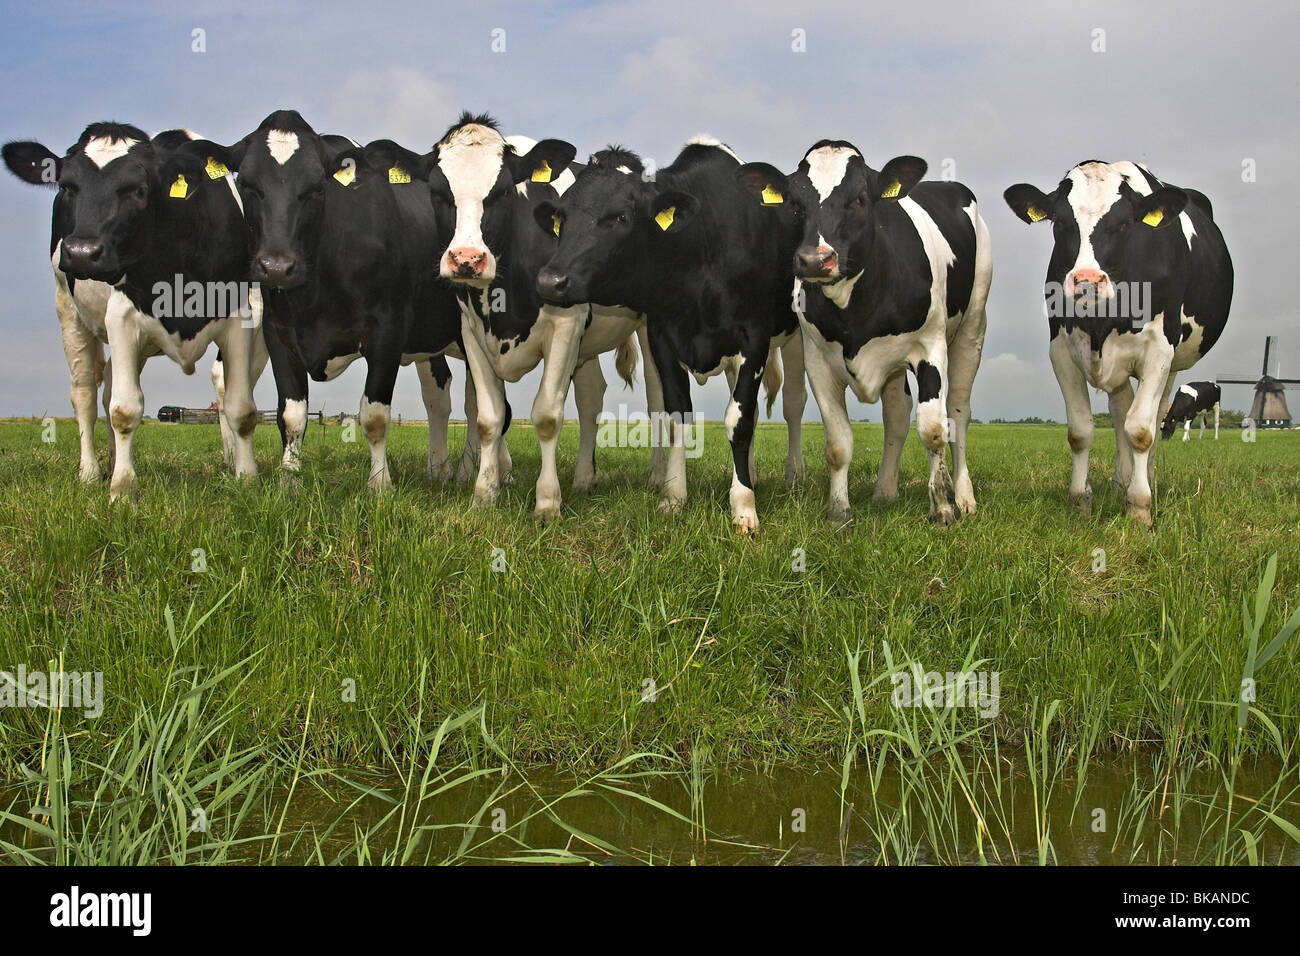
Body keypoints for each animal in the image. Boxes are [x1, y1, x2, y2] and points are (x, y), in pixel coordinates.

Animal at [1, 124, 264, 501]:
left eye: (139, 189)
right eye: (66, 186)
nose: (81, 252)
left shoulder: (239, 317)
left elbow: (241, 408)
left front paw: (247, 479)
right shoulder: (121, 317)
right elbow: (125, 409)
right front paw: (123, 490)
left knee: (109, 386)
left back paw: (114, 459)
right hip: (68, 308)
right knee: (85, 393)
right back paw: (91, 472)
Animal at [354, 114, 648, 521]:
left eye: (504, 191)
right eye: (438, 192)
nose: (466, 258)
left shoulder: (565, 326)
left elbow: (547, 416)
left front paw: (547, 503)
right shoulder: (472, 333)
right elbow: (488, 418)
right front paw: (483, 494)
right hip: (585, 348)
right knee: (591, 398)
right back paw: (584, 479)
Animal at [533, 138, 808, 532]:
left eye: (620, 216)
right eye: (562, 219)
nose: (549, 280)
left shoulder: (754, 338)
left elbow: (738, 422)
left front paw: (743, 507)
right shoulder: (662, 338)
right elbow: (679, 415)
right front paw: (673, 498)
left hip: (797, 336)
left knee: (793, 404)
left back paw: (793, 476)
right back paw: (752, 472)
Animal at [736, 142, 992, 527]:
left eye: (859, 198)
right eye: (795, 203)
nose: (815, 260)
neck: (854, 307)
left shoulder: (929, 348)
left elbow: (933, 431)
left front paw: (944, 508)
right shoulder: (818, 360)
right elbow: (838, 443)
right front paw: (839, 511)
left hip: (972, 327)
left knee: (958, 412)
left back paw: (964, 495)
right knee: (897, 412)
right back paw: (885, 491)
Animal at [1004, 161, 1232, 524]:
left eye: (1125, 224)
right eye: (1060, 222)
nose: (1086, 281)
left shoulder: (1159, 350)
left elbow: (1140, 430)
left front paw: (1140, 508)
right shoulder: (1061, 351)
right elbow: (1080, 431)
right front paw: (1080, 503)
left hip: (1171, 365)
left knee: (1152, 416)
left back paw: (1145, 480)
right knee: (1119, 408)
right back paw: (1119, 481)